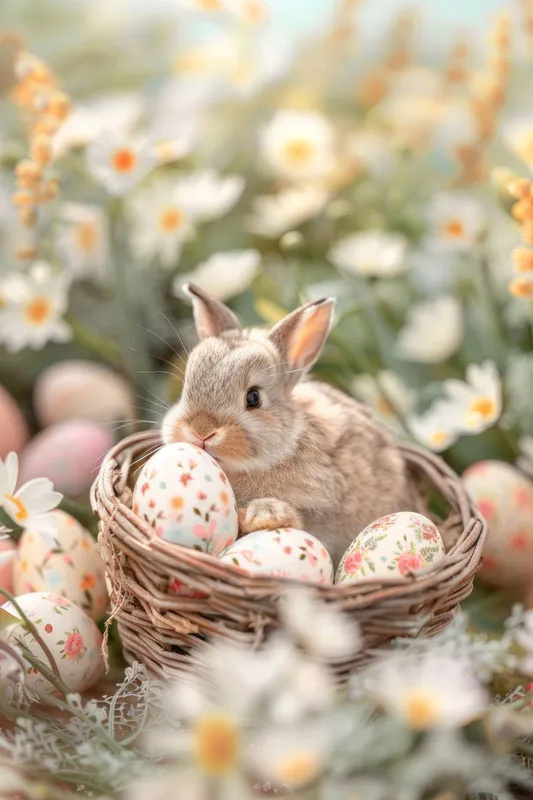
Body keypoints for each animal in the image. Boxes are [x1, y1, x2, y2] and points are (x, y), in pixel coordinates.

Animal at [161, 283, 411, 565]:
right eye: (185, 387)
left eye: (253, 397)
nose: (201, 431)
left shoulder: (322, 508)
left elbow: (302, 519)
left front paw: (264, 515)